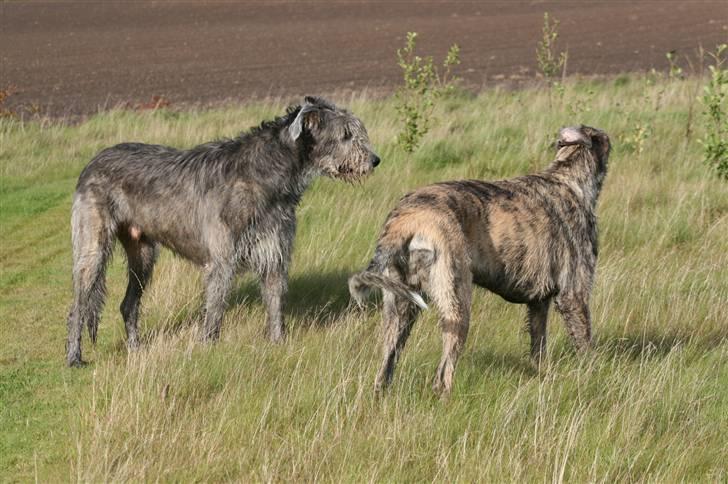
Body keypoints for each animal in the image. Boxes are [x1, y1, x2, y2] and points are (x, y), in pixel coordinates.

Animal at [67, 95, 382, 366]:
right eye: (345, 134)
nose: (375, 160)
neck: (265, 174)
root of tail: (92, 161)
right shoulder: (222, 260)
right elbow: (215, 309)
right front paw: (208, 348)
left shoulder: (274, 253)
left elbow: (275, 302)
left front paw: (278, 344)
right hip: (92, 248)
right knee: (78, 306)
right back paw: (74, 357)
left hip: (142, 253)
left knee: (128, 304)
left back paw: (136, 350)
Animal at [350, 125, 612, 398]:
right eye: (605, 139)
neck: (567, 177)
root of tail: (406, 221)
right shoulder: (574, 294)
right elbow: (585, 345)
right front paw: (592, 377)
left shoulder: (539, 304)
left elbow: (538, 348)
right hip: (456, 304)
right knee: (443, 375)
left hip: (400, 309)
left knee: (386, 365)